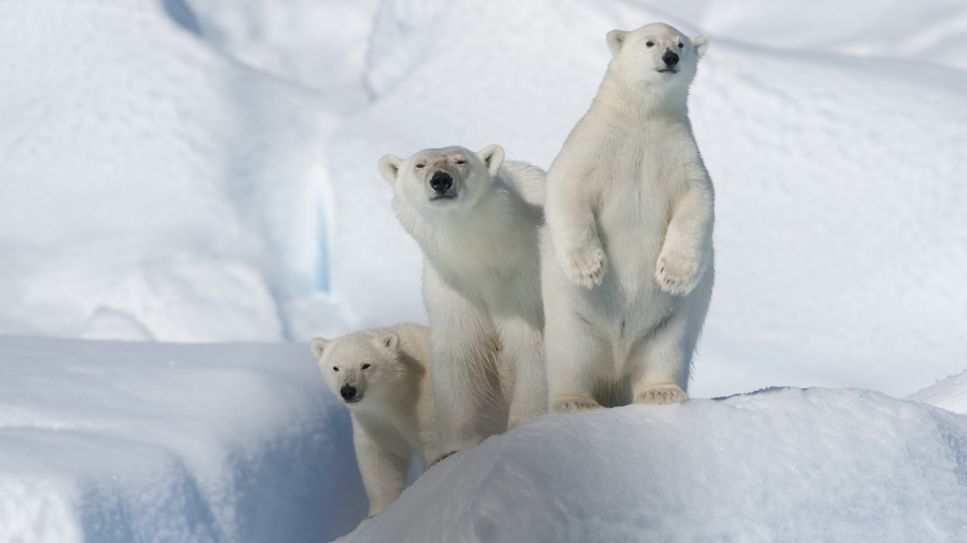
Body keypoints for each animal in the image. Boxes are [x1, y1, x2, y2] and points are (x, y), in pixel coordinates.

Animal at [310, 324, 438, 520]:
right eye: (336, 367)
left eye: (365, 365)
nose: (348, 390)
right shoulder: (375, 421)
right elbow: (381, 459)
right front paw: (377, 512)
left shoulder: (425, 404)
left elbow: (433, 438)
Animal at [376, 146, 548, 460]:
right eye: (420, 164)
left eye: (460, 160)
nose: (441, 180)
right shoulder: (454, 290)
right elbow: (459, 352)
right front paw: (456, 446)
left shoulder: (526, 279)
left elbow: (532, 341)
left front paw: (526, 423)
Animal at [540, 21, 716, 412]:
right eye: (649, 42)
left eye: (681, 43)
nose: (670, 57)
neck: (643, 118)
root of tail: (617, 363)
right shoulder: (594, 145)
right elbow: (567, 186)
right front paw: (590, 266)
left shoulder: (679, 154)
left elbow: (697, 201)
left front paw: (673, 274)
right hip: (573, 317)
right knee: (571, 356)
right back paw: (575, 401)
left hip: (670, 321)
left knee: (666, 349)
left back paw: (661, 392)